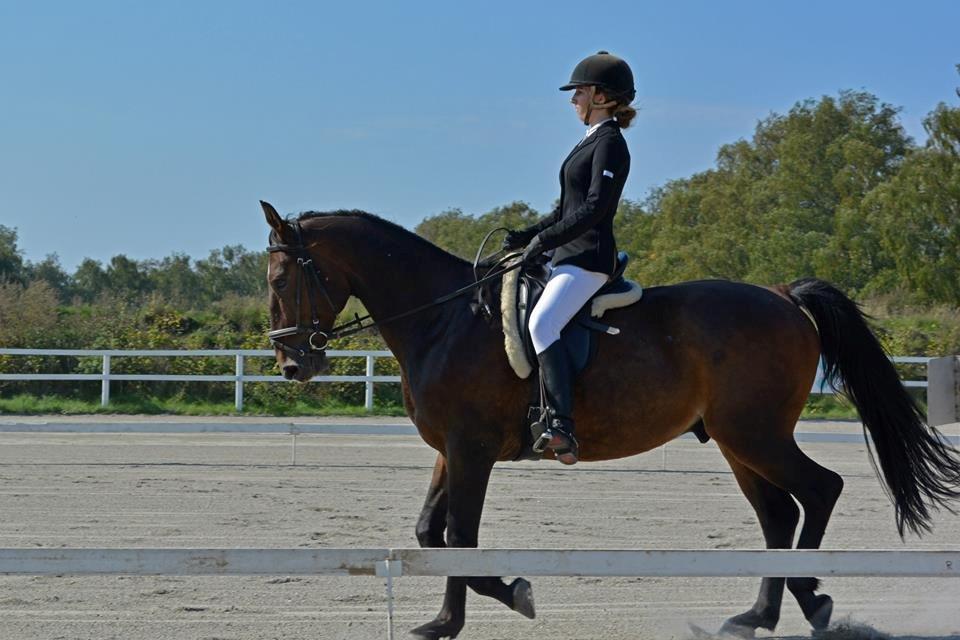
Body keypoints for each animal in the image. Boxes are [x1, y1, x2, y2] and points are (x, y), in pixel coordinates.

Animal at [258, 201, 960, 640]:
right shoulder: (449, 450)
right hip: (738, 441)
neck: (445, 318)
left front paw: (481, 608)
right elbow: (431, 532)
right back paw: (755, 616)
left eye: (282, 277)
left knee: (819, 490)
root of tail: (783, 297)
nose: (291, 363)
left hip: (754, 434)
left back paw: (812, 600)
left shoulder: (471, 448)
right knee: (779, 514)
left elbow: (460, 536)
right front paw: (473, 607)